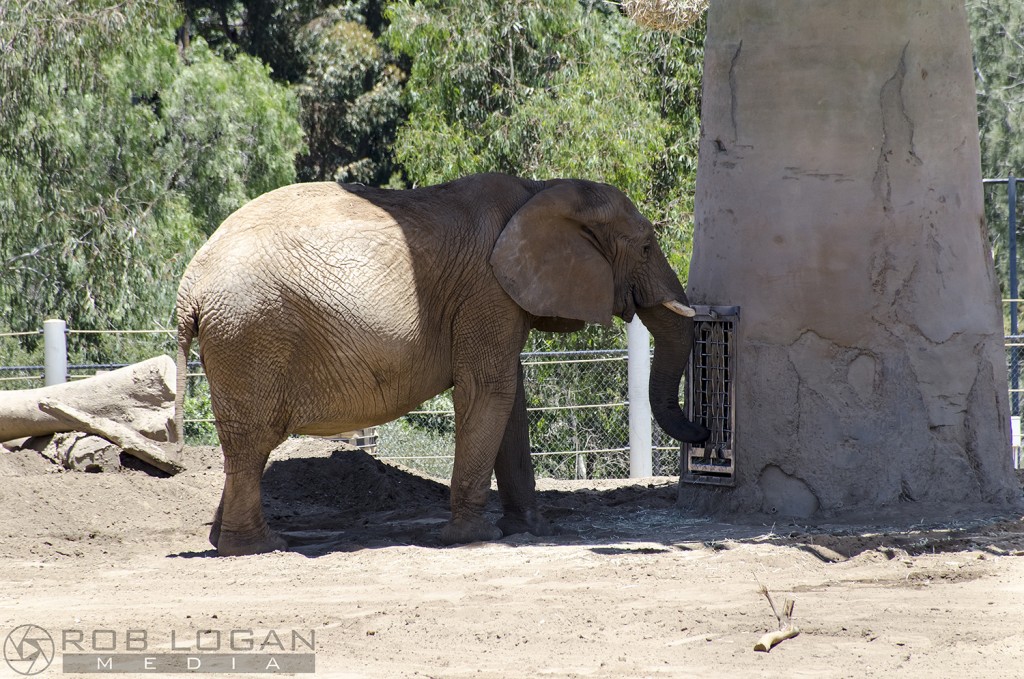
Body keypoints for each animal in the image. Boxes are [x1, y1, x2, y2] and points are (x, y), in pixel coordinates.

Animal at [176, 174, 708, 557]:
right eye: (645, 247)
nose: (705, 431)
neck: (539, 189)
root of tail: (189, 289)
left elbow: (509, 398)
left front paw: (532, 529)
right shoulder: (487, 290)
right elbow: (489, 390)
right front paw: (475, 538)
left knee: (245, 447)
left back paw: (225, 541)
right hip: (251, 334)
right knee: (253, 442)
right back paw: (259, 547)